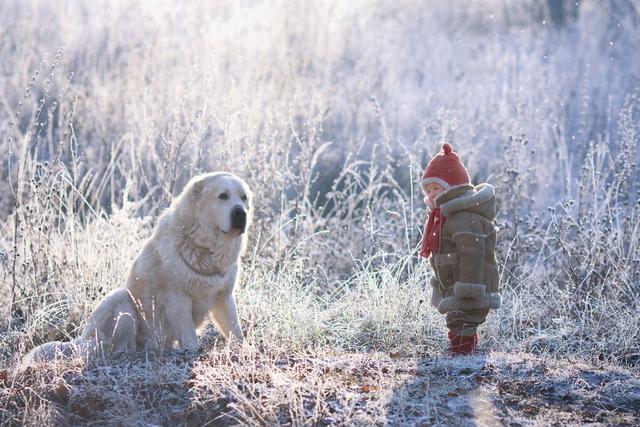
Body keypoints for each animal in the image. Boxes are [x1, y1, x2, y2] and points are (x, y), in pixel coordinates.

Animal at [24, 172, 250, 362]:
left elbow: (235, 329)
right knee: (112, 347)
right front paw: (192, 352)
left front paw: (245, 350)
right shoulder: (177, 298)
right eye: (222, 196)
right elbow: (189, 334)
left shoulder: (224, 297)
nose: (240, 213)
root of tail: (81, 341)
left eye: (244, 198)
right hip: (123, 301)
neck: (205, 248)